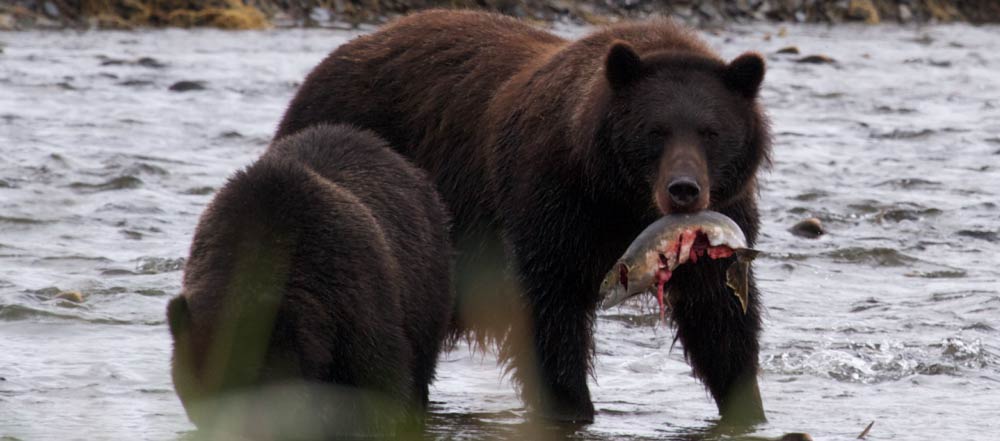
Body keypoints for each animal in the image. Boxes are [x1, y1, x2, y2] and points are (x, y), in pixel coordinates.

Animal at [275, 10, 770, 427]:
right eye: (656, 130)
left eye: (711, 131)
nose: (684, 189)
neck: (618, 199)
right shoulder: (552, 201)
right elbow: (549, 306)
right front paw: (571, 405)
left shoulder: (724, 216)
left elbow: (720, 315)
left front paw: (747, 409)